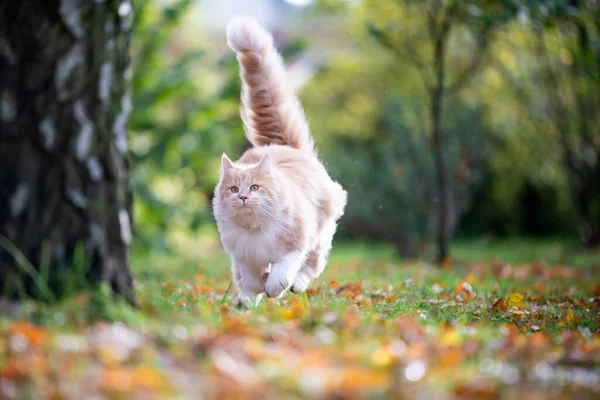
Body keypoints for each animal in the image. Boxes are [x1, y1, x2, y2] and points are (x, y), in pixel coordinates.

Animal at [214, 15, 346, 304]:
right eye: (234, 189)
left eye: (255, 188)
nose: (243, 197)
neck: (255, 231)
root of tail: (280, 144)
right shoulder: (243, 255)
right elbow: (250, 278)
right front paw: (257, 288)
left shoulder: (294, 245)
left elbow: (281, 273)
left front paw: (274, 287)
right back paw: (248, 303)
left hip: (320, 231)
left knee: (312, 265)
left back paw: (295, 285)